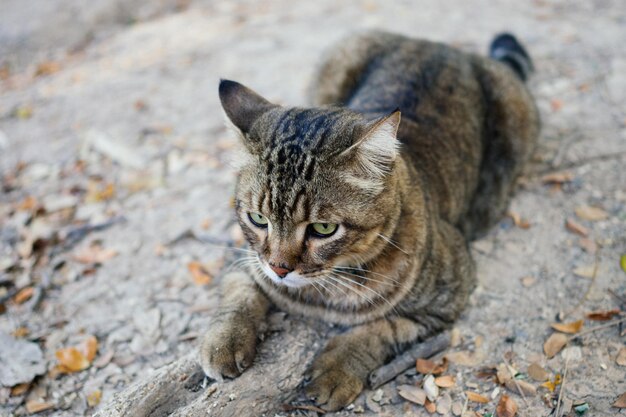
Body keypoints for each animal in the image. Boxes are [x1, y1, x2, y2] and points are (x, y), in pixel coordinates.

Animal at [199, 30, 536, 412]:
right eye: (258, 219)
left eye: (323, 228)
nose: (280, 268)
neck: (324, 293)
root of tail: (440, 46)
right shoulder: (247, 257)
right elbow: (237, 290)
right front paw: (223, 340)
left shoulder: (448, 296)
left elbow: (381, 330)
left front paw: (336, 369)